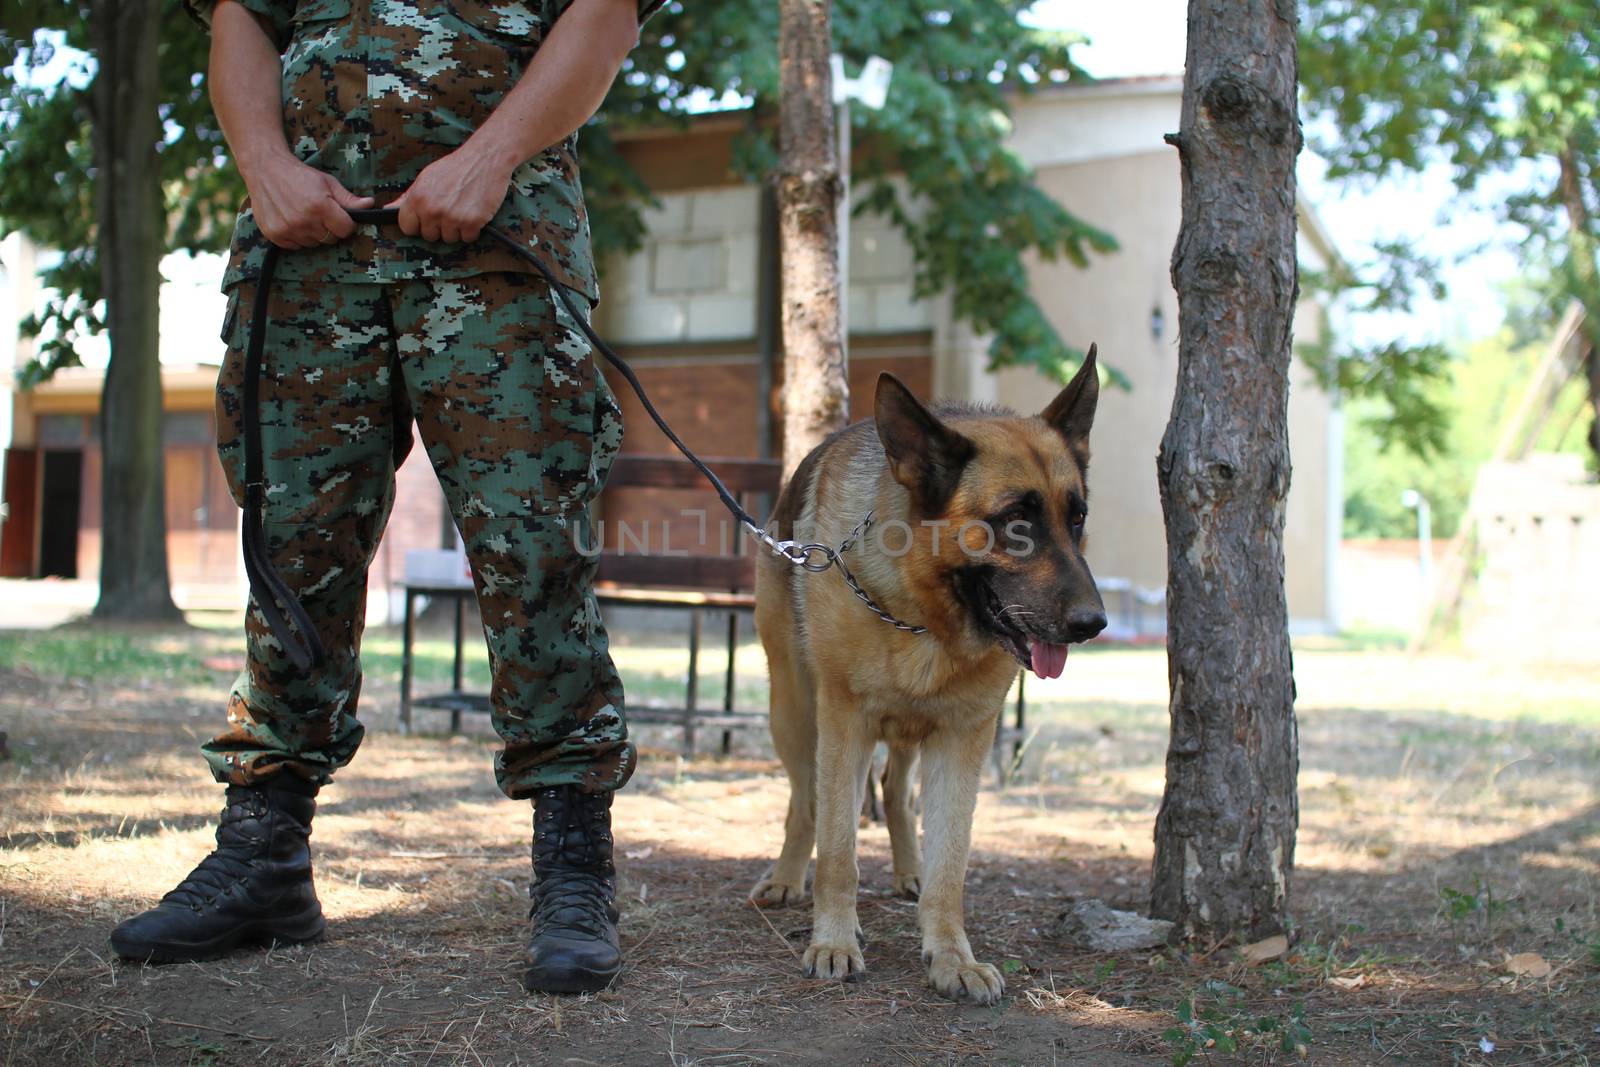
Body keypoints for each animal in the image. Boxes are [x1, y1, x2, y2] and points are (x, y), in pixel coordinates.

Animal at [745, 355, 1100, 1004]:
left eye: (1077, 517)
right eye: (1015, 523)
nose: (1094, 624)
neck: (922, 618)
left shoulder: (963, 739)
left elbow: (950, 863)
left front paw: (952, 956)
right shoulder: (844, 726)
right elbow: (838, 850)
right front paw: (833, 942)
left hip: (911, 732)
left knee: (893, 791)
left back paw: (908, 868)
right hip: (795, 715)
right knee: (805, 803)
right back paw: (786, 878)